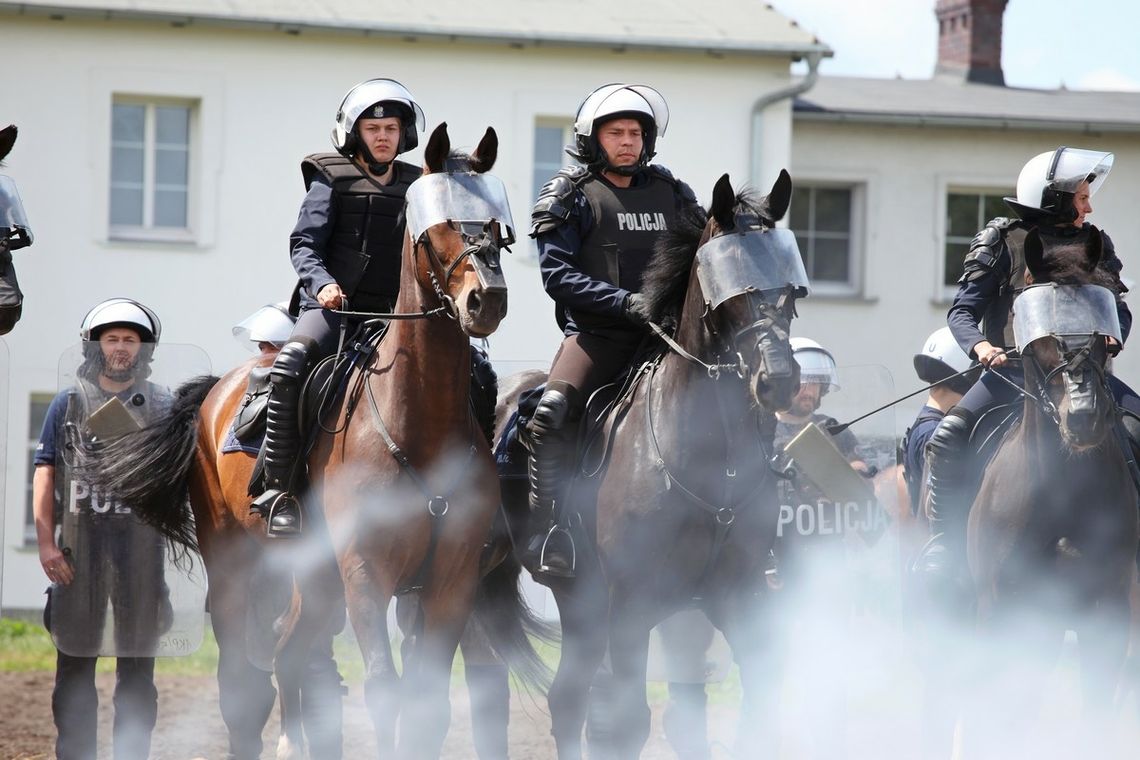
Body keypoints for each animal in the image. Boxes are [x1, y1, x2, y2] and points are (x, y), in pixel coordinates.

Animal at [87, 121, 542, 756]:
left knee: (290, 655)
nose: (487, 300)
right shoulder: (366, 573)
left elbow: (429, 704)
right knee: (244, 680)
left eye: (498, 227)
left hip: (314, 579)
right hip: (238, 568)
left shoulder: (451, 581)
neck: (416, 425)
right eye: (440, 226)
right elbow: (384, 688)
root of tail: (214, 394)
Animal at [503, 172, 807, 760]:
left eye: (788, 285)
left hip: (584, 606)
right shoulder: (631, 606)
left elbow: (760, 705)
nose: (778, 380)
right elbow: (628, 722)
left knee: (567, 699)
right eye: (731, 289)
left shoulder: (738, 598)